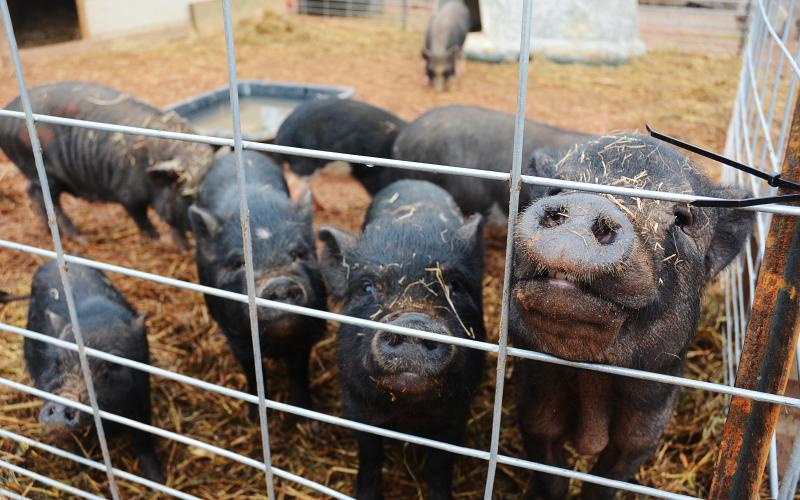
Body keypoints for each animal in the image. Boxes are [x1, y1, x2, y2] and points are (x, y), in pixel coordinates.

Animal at [0, 81, 215, 249]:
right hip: (38, 168)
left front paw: (184, 248)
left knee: (32, 192)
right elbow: (142, 219)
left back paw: (50, 232)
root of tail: (6, 113)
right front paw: (158, 241)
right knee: (44, 198)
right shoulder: (127, 195)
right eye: (188, 197)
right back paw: (80, 238)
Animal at [25, 260, 163, 483]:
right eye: (57, 362)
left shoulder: (142, 396)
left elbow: (143, 439)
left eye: (114, 365)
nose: (65, 401)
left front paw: (158, 480)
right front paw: (83, 476)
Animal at [189, 150, 326, 417]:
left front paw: (305, 417)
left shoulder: (307, 333)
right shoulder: (236, 336)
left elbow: (299, 372)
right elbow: (251, 372)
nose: (280, 284)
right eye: (237, 262)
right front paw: (254, 418)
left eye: (300, 253)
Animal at [318, 179, 485, 500]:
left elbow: (439, 466)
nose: (414, 322)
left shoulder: (456, 413)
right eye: (366, 286)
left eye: (454, 286)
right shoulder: (355, 405)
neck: (407, 414)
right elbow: (370, 457)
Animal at [510, 134, 754, 499]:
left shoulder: (646, 430)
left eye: (683, 218)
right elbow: (551, 476)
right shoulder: (533, 407)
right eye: (555, 189)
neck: (591, 379)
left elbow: (605, 481)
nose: (587, 203)